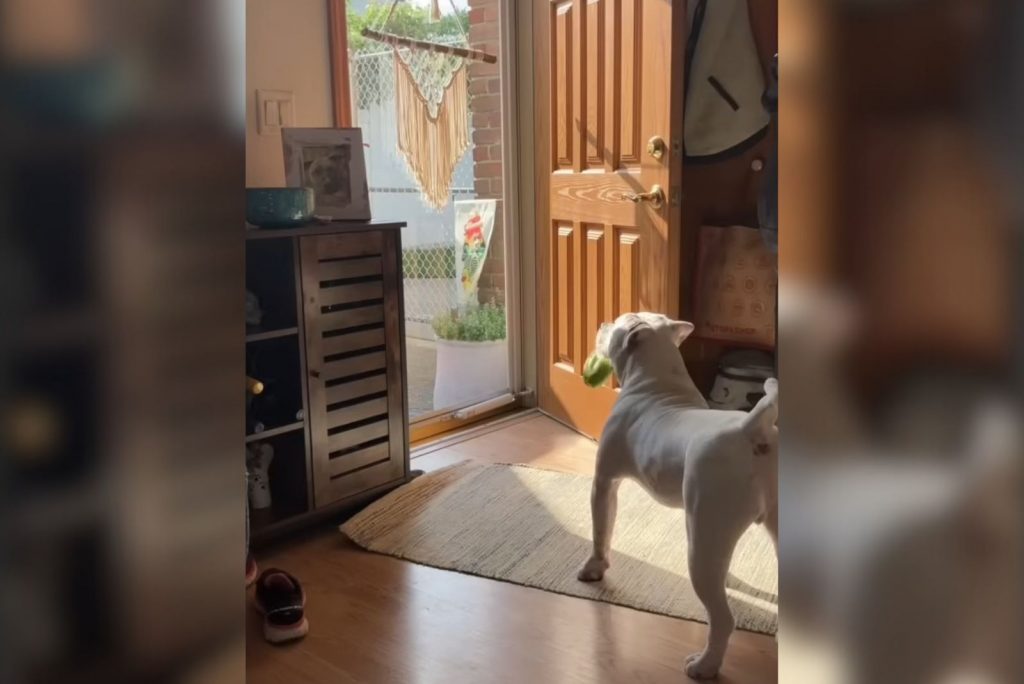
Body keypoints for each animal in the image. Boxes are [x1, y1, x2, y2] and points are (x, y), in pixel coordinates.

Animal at [577, 313, 774, 679]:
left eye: (616, 325)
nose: (602, 322)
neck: (656, 381)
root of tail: (750, 431)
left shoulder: (604, 482)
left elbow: (600, 530)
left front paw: (593, 569)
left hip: (706, 536)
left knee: (723, 620)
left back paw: (704, 666)